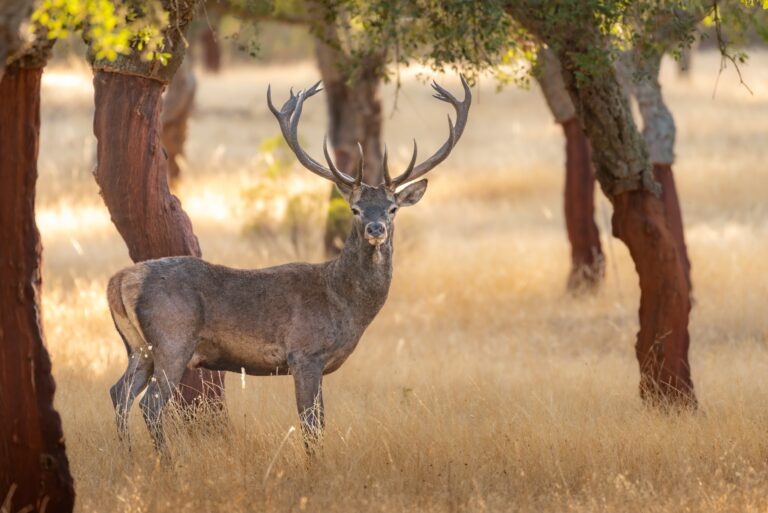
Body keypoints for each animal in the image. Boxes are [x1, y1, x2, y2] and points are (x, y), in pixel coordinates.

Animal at [107, 76, 471, 452]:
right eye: (355, 208)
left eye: (392, 208)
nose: (376, 229)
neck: (344, 304)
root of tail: (119, 281)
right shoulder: (304, 354)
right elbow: (311, 425)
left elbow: (320, 423)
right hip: (172, 339)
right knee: (150, 404)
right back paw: (166, 461)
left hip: (138, 347)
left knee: (119, 392)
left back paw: (128, 456)